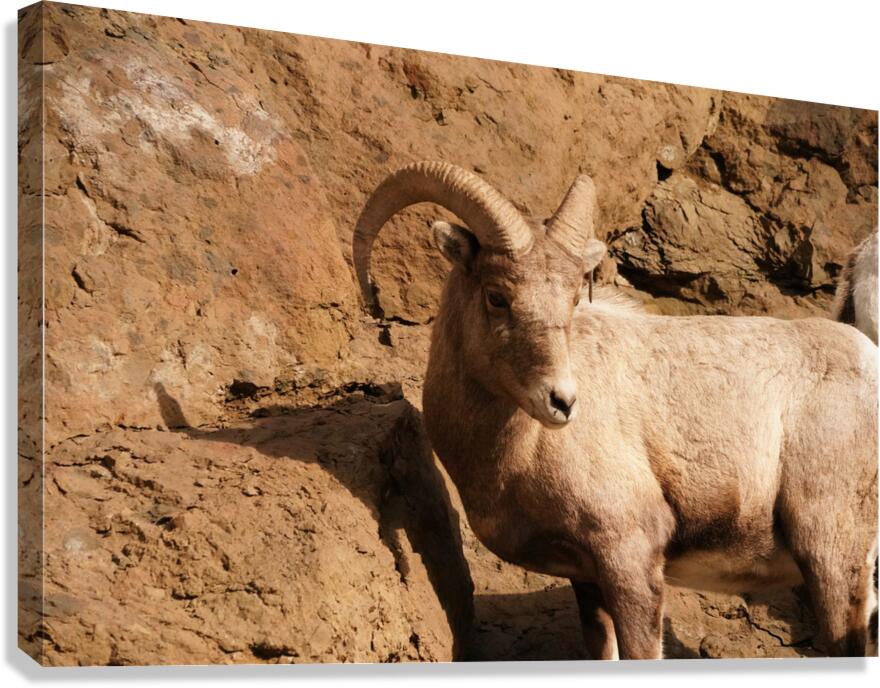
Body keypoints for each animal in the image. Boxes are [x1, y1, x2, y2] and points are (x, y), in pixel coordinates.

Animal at [352, 161, 878, 659]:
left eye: (571, 298)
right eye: (496, 295)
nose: (562, 401)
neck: (517, 454)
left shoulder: (629, 556)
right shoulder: (587, 578)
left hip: (832, 557)